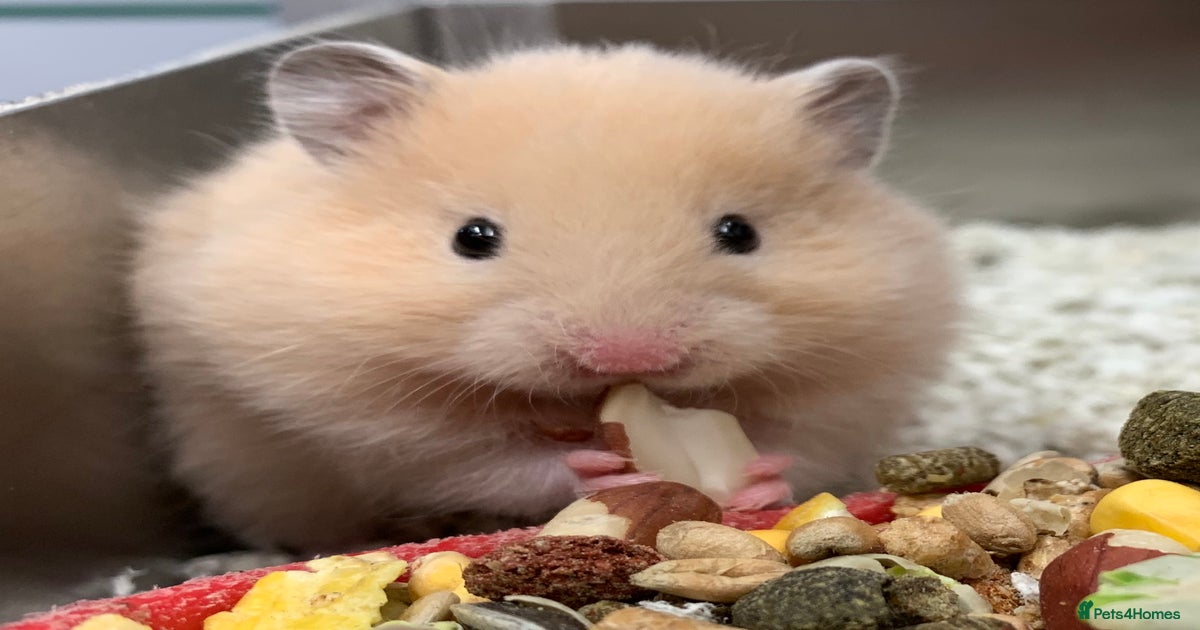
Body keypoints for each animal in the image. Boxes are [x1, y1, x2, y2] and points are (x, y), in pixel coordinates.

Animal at [130, 41, 959, 553]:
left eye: (740, 232)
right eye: (473, 238)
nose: (627, 355)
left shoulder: (857, 381)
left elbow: (802, 440)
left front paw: (757, 478)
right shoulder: (363, 421)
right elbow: (481, 460)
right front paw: (601, 473)